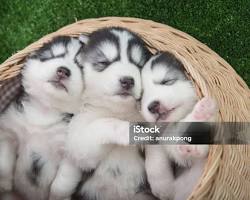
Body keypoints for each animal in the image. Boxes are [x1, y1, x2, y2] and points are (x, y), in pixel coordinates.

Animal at [0, 36, 84, 200]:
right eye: (51, 56)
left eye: (80, 66)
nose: (63, 71)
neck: (45, 110)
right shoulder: (9, 132)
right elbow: (4, 163)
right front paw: (4, 184)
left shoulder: (71, 155)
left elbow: (62, 183)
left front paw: (58, 197)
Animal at [49, 27, 156, 200]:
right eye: (103, 63)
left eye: (139, 66)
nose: (128, 80)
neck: (117, 110)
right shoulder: (79, 144)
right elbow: (103, 124)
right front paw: (133, 131)